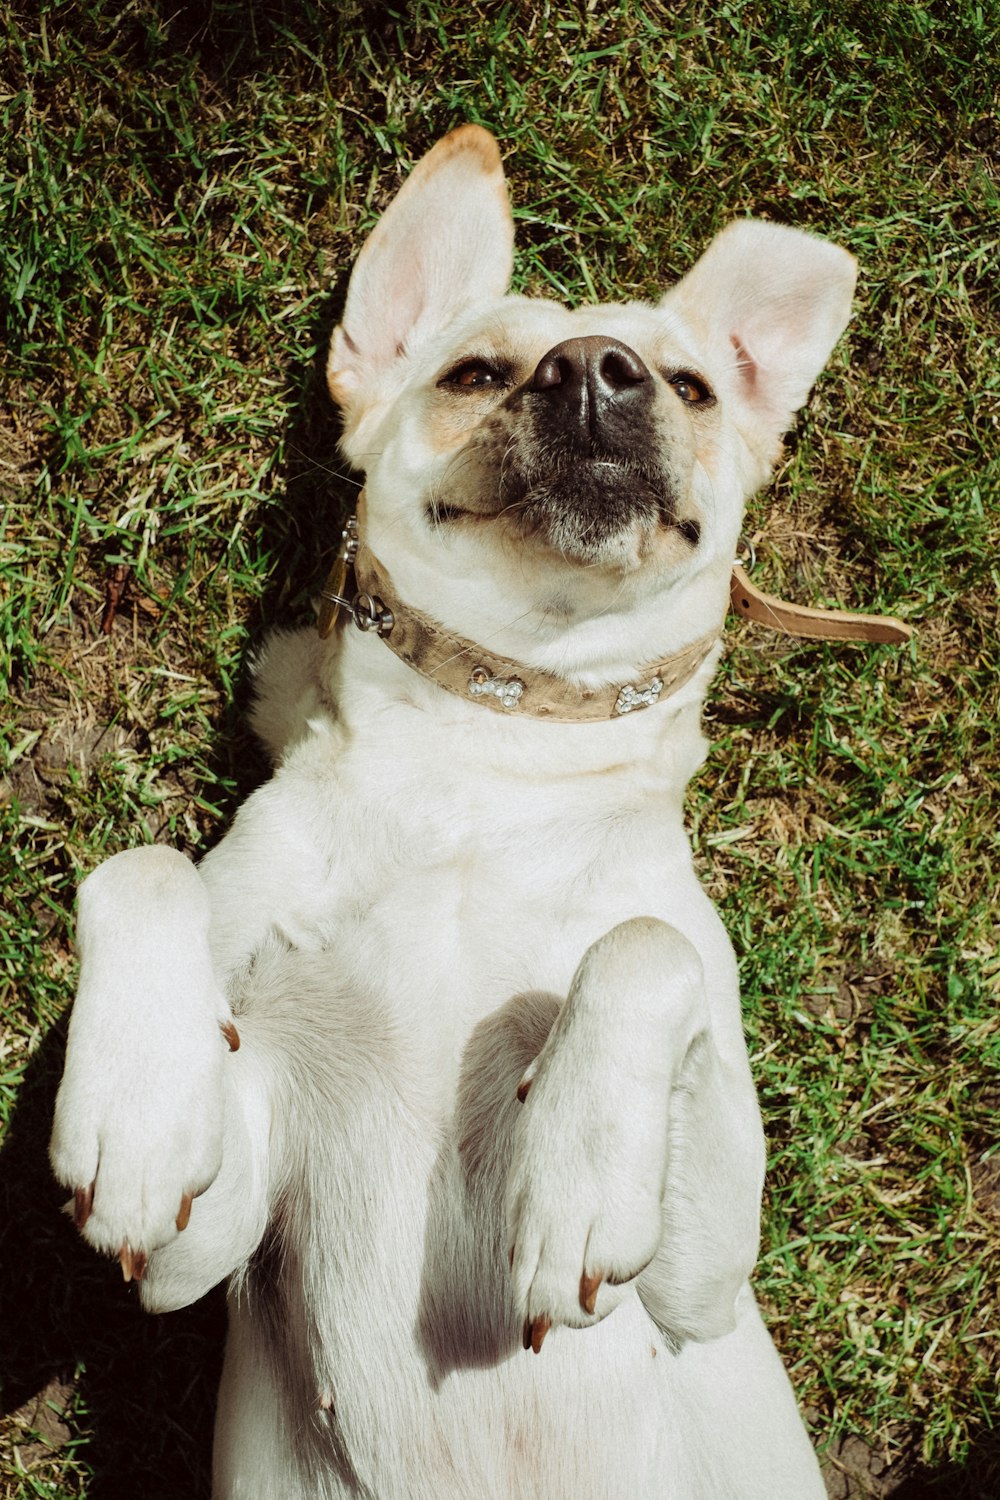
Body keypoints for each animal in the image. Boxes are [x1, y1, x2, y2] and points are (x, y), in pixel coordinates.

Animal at [50, 129, 857, 1500]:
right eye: (475, 371)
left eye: (692, 387)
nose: (596, 368)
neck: (486, 766)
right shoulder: (195, 1250)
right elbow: (145, 867)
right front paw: (137, 1107)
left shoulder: (704, 1289)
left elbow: (644, 947)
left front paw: (575, 1174)